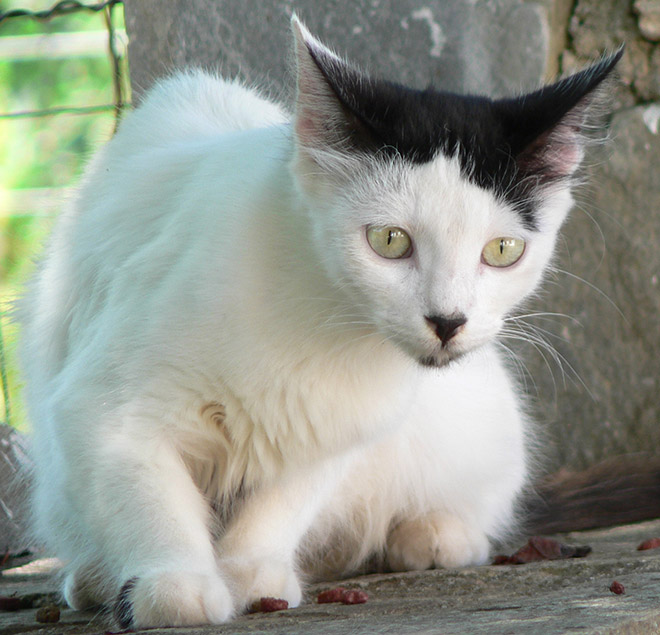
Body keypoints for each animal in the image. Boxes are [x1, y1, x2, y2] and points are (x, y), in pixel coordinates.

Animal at [18, 16, 620, 632]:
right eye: (389, 241)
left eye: (502, 251)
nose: (448, 320)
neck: (319, 318)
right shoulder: (106, 408)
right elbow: (148, 493)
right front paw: (176, 585)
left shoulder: (336, 428)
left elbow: (284, 501)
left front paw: (250, 571)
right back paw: (94, 578)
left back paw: (431, 533)